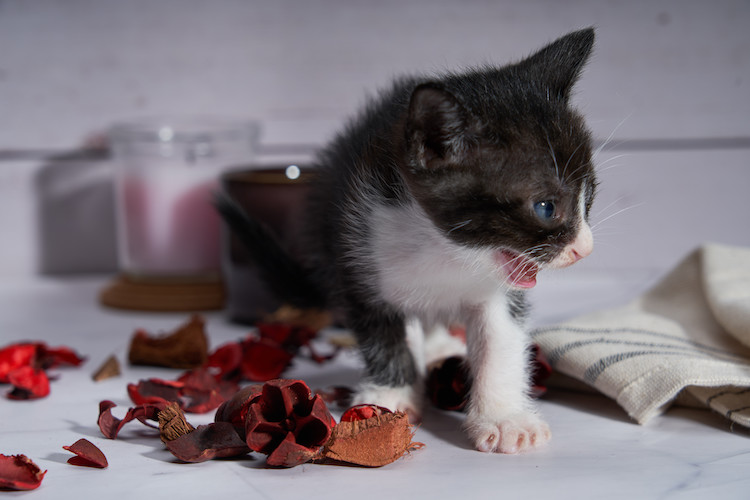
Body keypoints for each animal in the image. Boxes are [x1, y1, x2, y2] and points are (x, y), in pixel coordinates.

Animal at [219, 29, 600, 456]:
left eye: (589, 197)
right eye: (546, 208)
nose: (584, 248)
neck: (447, 249)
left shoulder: (501, 290)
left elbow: (500, 339)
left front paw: (505, 418)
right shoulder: (357, 256)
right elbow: (383, 331)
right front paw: (391, 395)